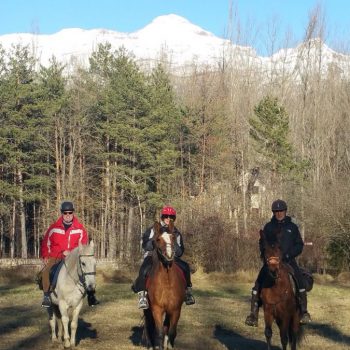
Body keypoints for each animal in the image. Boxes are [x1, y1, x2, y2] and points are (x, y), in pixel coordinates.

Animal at [143, 220, 186, 348]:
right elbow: (159, 332)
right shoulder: (157, 309)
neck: (166, 282)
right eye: (158, 239)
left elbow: (171, 332)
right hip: (148, 309)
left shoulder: (175, 310)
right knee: (148, 325)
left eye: (173, 237)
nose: (169, 255)